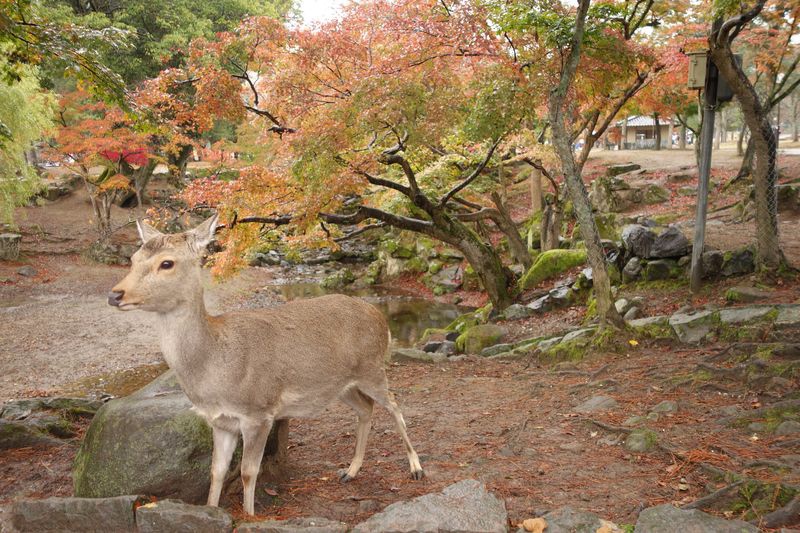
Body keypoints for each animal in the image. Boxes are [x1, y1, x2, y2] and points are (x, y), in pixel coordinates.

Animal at [109, 213, 428, 516]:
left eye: (167, 263)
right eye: (133, 259)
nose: (115, 294)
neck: (216, 369)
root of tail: (380, 316)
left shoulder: (258, 412)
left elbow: (249, 473)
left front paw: (250, 515)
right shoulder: (221, 421)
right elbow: (216, 472)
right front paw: (212, 509)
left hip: (373, 367)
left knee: (394, 403)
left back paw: (416, 468)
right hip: (341, 386)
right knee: (366, 408)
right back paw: (350, 471)